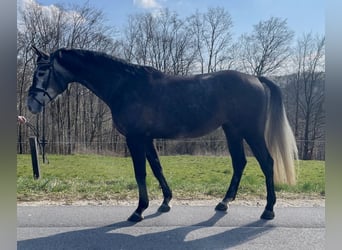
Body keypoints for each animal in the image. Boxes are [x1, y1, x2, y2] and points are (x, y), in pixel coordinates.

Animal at [28, 46, 298, 222]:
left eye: (41, 72)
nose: (31, 103)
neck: (125, 85)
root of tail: (256, 79)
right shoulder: (146, 139)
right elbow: (157, 168)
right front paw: (165, 202)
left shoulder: (135, 139)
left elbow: (141, 174)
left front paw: (138, 211)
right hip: (232, 131)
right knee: (240, 163)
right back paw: (224, 203)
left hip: (251, 132)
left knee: (267, 163)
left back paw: (268, 209)